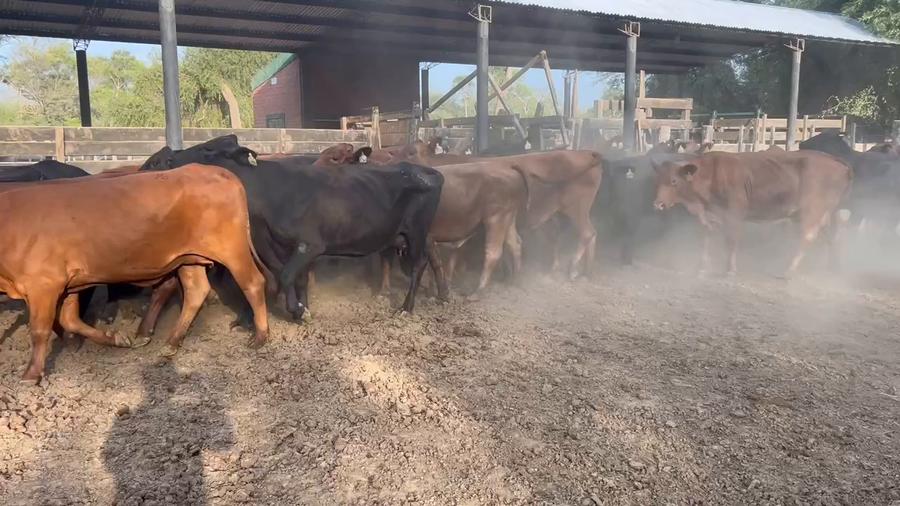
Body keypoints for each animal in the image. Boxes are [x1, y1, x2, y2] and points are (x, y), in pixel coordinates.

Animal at [0, 164, 270, 384]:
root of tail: (214, 170)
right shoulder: (68, 285)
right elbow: (69, 319)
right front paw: (114, 338)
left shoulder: (44, 284)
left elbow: (40, 329)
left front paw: (31, 373)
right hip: (189, 258)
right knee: (196, 292)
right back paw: (171, 341)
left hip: (231, 250)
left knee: (253, 283)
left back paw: (260, 336)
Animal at [140, 135, 444, 321]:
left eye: (207, 148)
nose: (170, 157)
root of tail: (428, 171)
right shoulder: (275, 244)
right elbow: (290, 277)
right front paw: (300, 307)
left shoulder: (310, 244)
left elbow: (284, 277)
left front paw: (296, 311)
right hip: (404, 236)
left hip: (417, 231)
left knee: (420, 264)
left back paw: (406, 308)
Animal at [652, 150, 852, 277]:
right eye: (657, 179)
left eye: (673, 180)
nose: (658, 204)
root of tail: (835, 160)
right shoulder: (709, 216)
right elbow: (705, 239)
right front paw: (701, 267)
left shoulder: (734, 214)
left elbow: (731, 241)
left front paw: (730, 269)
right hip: (825, 214)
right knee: (834, 236)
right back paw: (835, 268)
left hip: (813, 212)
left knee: (808, 237)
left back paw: (788, 271)